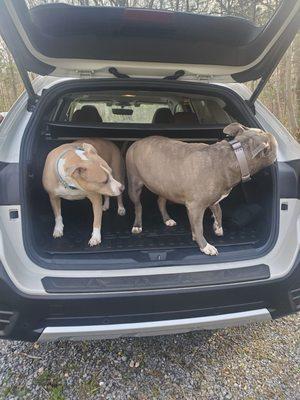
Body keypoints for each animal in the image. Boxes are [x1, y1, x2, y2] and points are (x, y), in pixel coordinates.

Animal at [126, 122, 276, 258]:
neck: (235, 155)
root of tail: (137, 142)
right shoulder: (196, 206)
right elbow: (199, 227)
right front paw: (205, 246)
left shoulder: (212, 199)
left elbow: (218, 212)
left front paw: (217, 227)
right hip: (134, 184)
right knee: (138, 205)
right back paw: (137, 225)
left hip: (164, 186)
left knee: (160, 201)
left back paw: (167, 219)